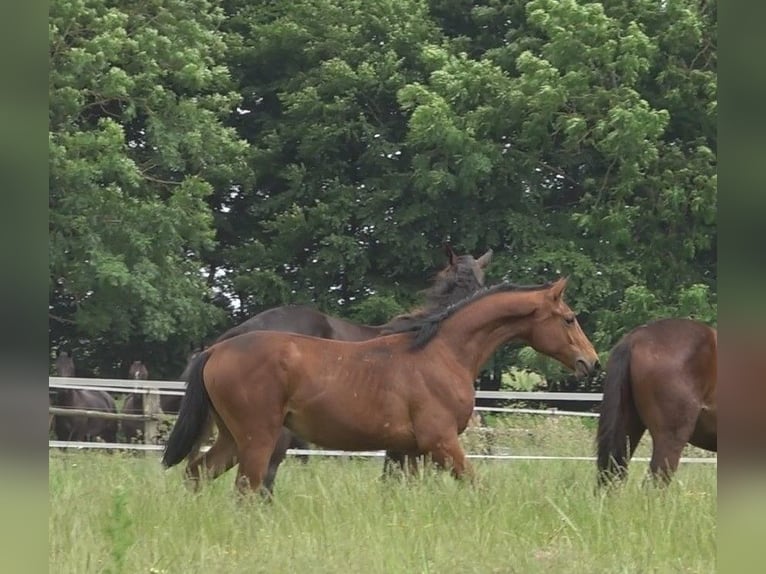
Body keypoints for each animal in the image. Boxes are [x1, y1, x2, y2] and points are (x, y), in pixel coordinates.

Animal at [165, 276, 604, 498]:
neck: (441, 352)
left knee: (197, 473)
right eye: (568, 318)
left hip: (233, 438)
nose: (592, 362)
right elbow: (476, 486)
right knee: (246, 488)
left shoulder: (408, 451)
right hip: (259, 438)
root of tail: (217, 349)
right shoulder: (441, 442)